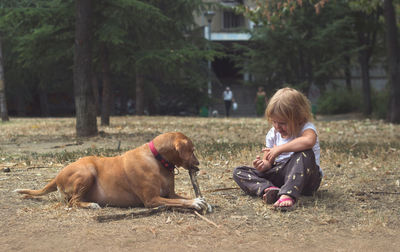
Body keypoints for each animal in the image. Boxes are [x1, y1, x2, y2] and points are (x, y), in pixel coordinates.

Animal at [14, 132, 209, 211]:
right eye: (192, 150)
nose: (198, 164)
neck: (158, 160)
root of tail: (57, 176)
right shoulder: (152, 199)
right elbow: (182, 201)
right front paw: (195, 202)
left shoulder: (170, 194)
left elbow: (182, 197)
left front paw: (202, 201)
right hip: (87, 172)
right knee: (73, 202)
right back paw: (90, 205)